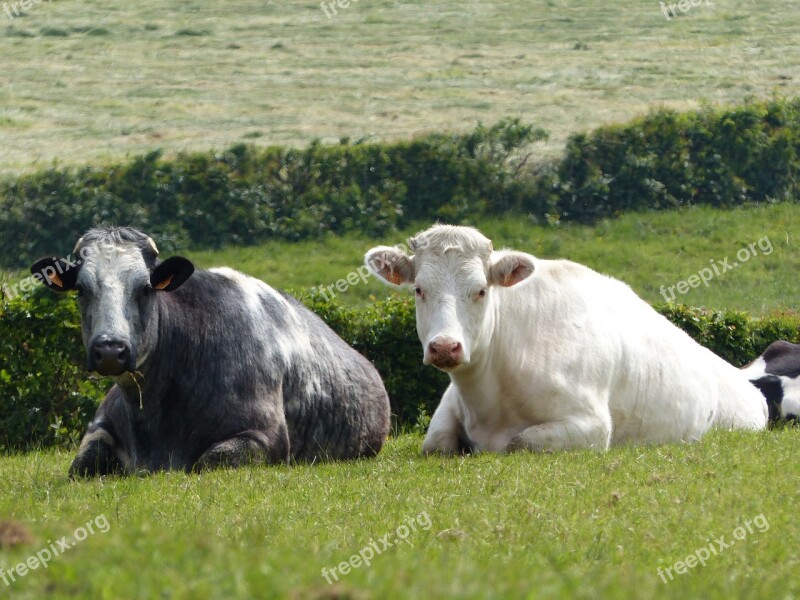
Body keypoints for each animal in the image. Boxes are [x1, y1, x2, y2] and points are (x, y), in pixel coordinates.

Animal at [32, 227, 390, 476]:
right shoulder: (100, 427)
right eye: (81, 289)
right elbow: (79, 467)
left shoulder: (267, 437)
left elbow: (209, 460)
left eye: (145, 288)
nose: (110, 349)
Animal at [368, 225, 768, 454]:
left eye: (480, 290)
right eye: (419, 289)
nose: (445, 346)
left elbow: (520, 441)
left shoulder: (593, 424)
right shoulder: (449, 407)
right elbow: (434, 444)